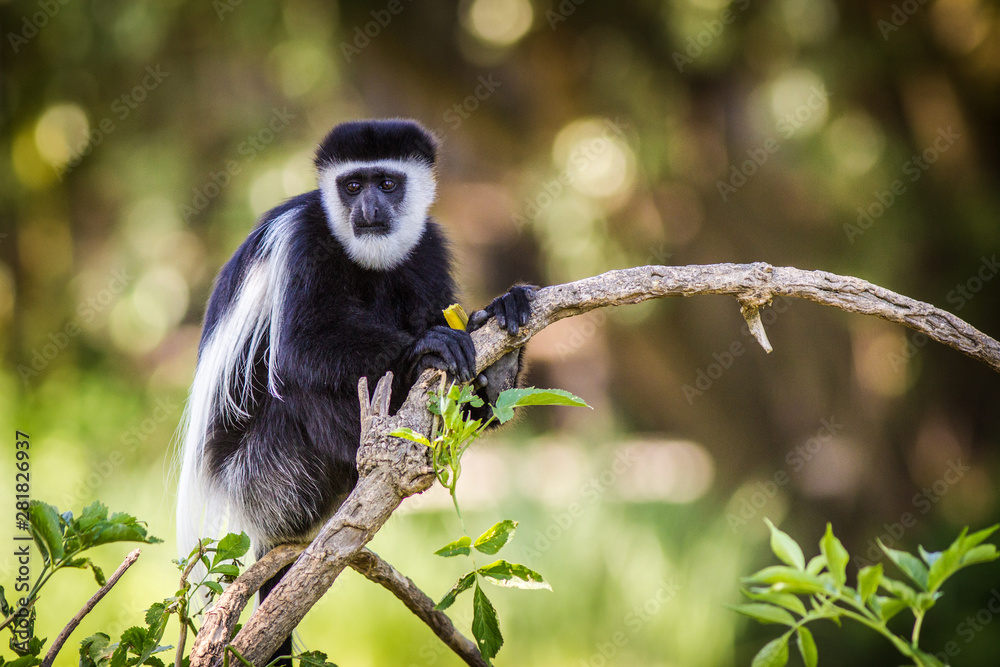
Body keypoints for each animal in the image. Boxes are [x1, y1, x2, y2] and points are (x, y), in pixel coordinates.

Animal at [175, 119, 532, 663]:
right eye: (351, 185)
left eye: (386, 183)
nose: (367, 209)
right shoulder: (302, 243)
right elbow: (300, 349)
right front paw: (428, 344)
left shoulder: (427, 247)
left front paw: (494, 332)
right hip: (266, 474)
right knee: (298, 388)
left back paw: (496, 377)